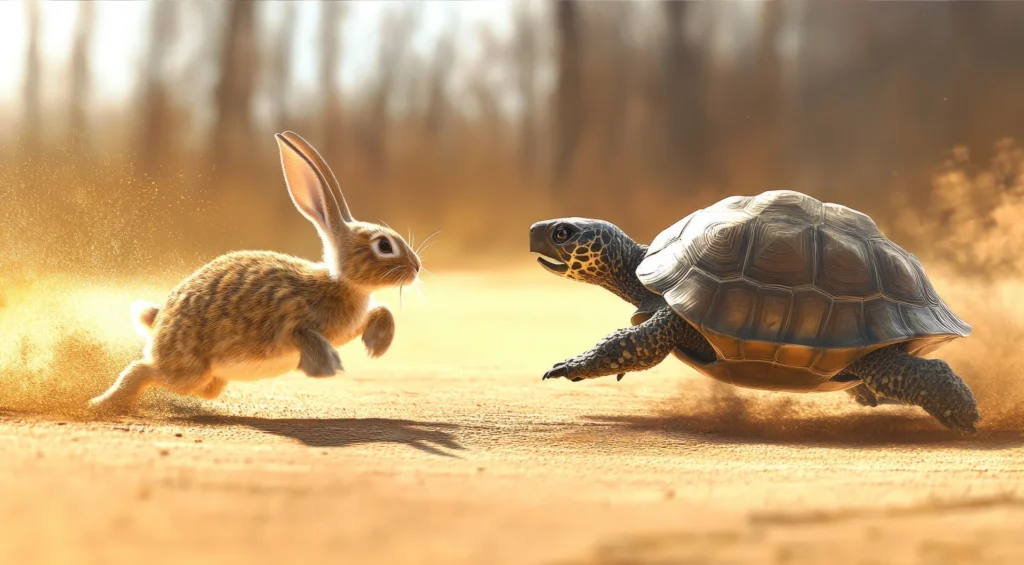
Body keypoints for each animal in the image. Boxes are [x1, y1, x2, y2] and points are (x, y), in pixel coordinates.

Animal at [88, 131, 422, 413]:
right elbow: (305, 334)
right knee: (142, 370)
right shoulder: (292, 319)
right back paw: (101, 404)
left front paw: (376, 346)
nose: (417, 267)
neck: (340, 283)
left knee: (200, 388)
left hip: (206, 377)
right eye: (384, 245)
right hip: (187, 368)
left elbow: (380, 310)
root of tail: (158, 322)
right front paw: (328, 366)